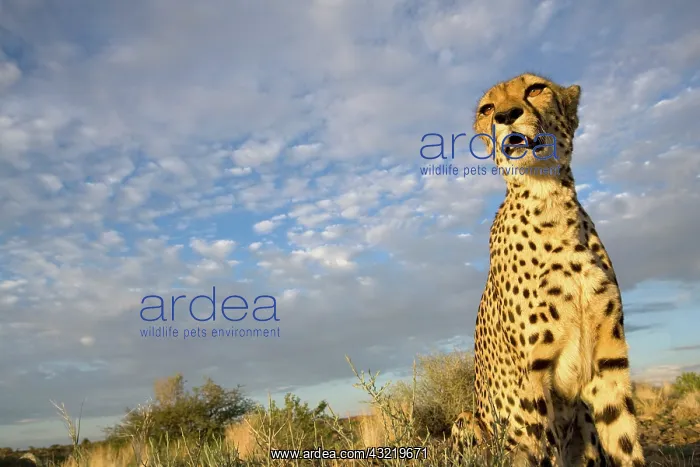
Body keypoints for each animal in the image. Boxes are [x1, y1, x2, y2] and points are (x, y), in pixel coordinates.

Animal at [450, 73, 646, 467]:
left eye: (536, 89)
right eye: (487, 109)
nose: (506, 115)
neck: (548, 200)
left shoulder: (609, 362)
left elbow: (626, 443)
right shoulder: (533, 377)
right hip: (468, 421)